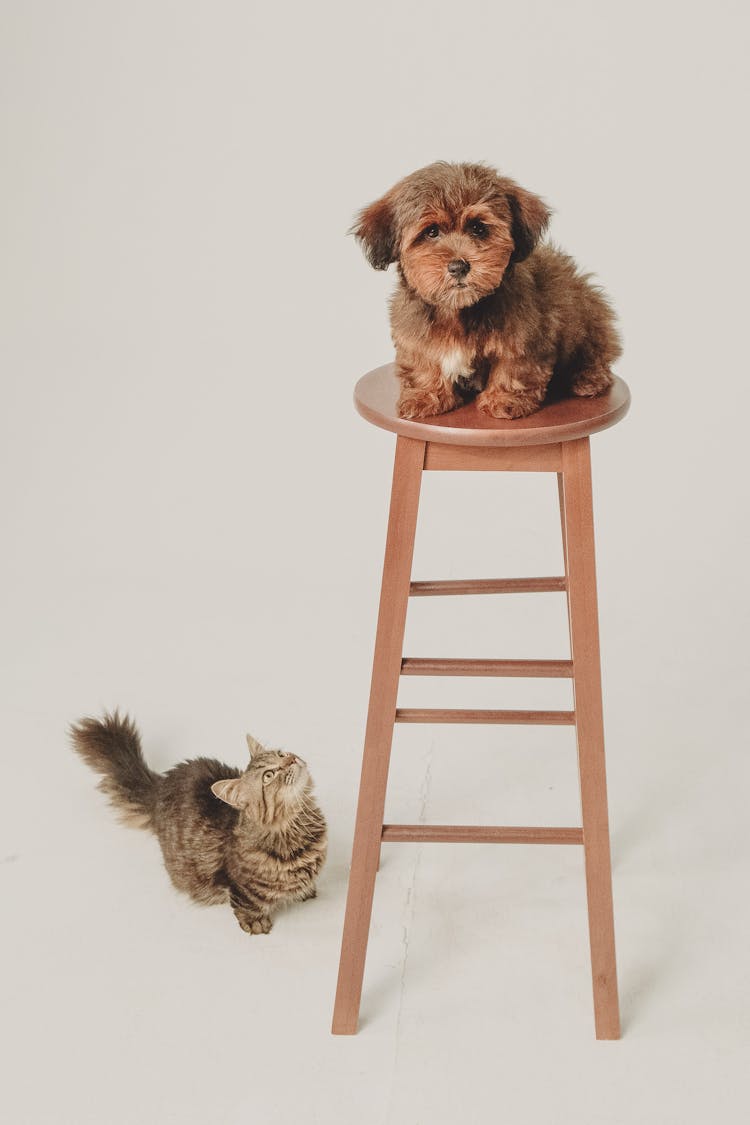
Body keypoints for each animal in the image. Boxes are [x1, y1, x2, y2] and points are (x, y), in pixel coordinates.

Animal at [70, 711, 326, 931]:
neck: (296, 825)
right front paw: (255, 924)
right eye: (269, 776)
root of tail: (160, 786)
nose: (291, 759)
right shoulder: (236, 886)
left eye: (281, 754)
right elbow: (246, 905)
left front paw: (306, 891)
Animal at [355, 160, 625, 420]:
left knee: (596, 353)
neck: (459, 310)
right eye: (431, 232)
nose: (458, 266)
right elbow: (424, 363)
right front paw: (425, 395)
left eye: (478, 228)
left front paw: (504, 399)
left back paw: (588, 379)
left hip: (589, 319)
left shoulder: (525, 335)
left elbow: (512, 366)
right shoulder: (415, 332)